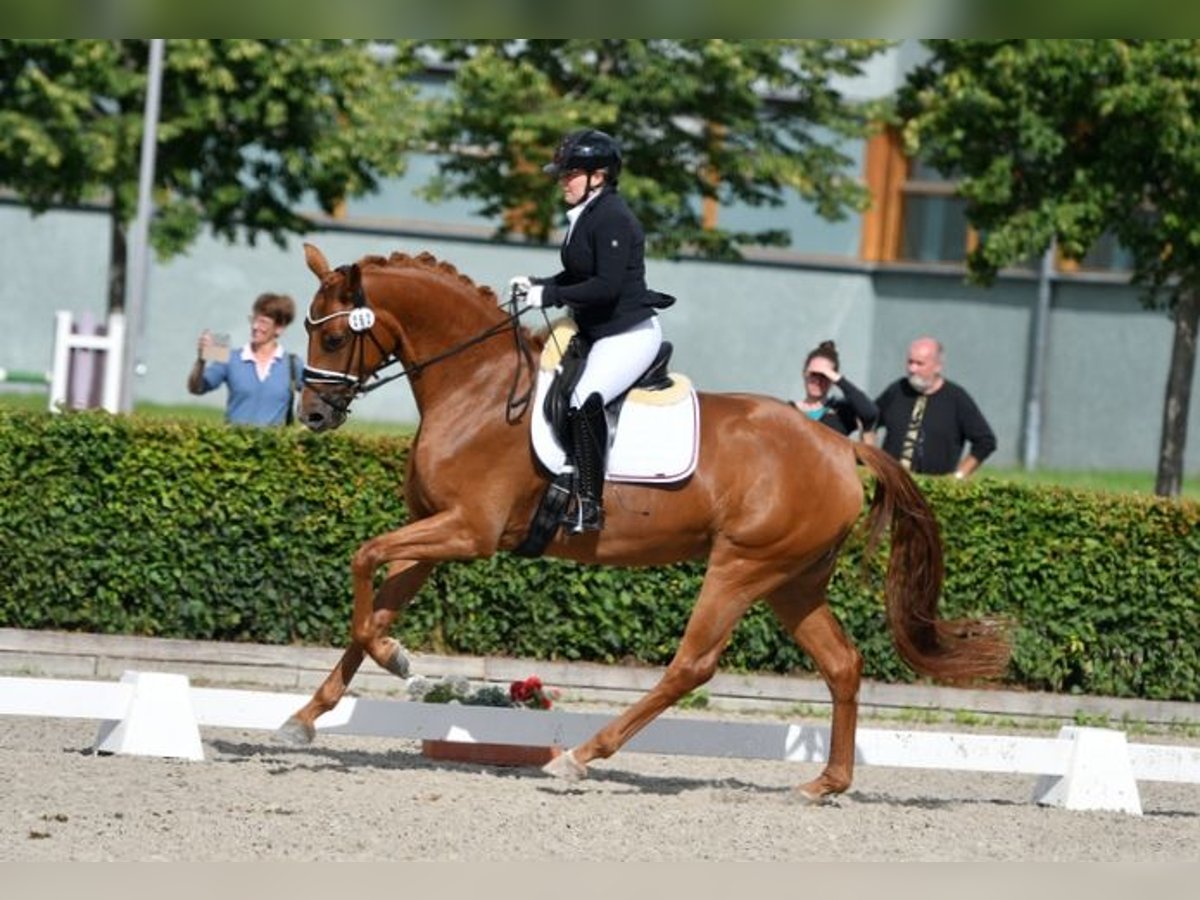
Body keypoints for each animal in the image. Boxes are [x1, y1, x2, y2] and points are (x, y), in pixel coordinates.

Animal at [276, 243, 1008, 801]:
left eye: (334, 335)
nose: (311, 415)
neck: (476, 387)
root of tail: (839, 444)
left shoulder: (469, 531)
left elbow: (364, 561)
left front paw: (397, 661)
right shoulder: (436, 531)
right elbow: (374, 604)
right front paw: (306, 716)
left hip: (743, 566)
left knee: (693, 665)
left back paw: (578, 758)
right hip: (792, 581)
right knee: (843, 664)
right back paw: (824, 784)